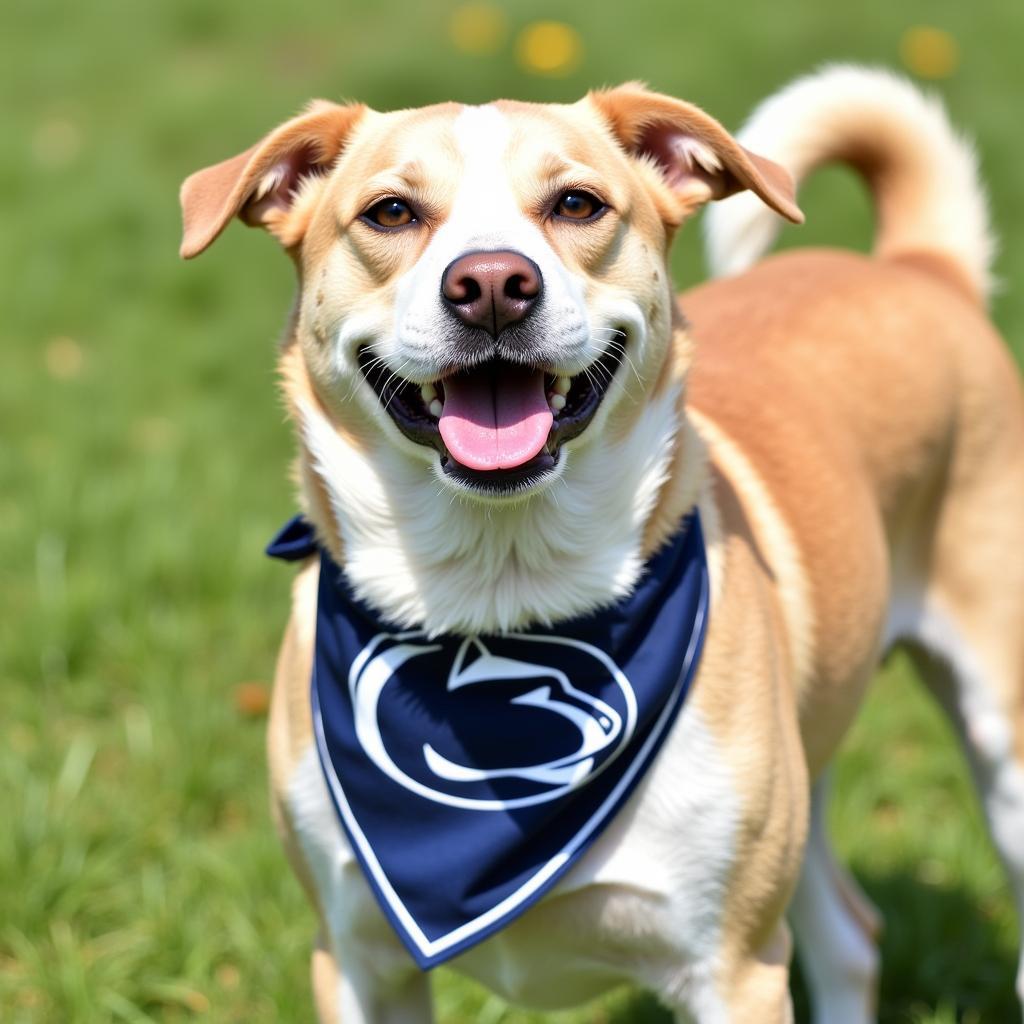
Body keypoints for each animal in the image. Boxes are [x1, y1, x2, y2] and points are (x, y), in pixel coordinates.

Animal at [180, 68, 1024, 1019]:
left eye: (576, 203)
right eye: (391, 212)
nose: (493, 283)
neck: (500, 591)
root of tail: (916, 269)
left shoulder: (733, 969)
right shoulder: (356, 959)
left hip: (998, 731)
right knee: (851, 936)